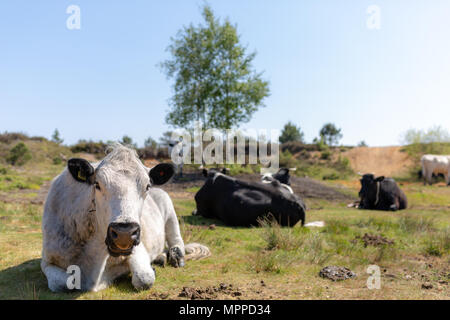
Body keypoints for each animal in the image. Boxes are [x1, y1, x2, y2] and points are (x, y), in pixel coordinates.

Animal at [41, 144, 210, 292]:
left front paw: (151, 269)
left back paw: (175, 256)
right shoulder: (47, 260)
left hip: (169, 211)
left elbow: (144, 278)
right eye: (97, 184)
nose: (124, 233)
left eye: (147, 186)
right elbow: (62, 283)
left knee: (176, 240)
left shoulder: (138, 248)